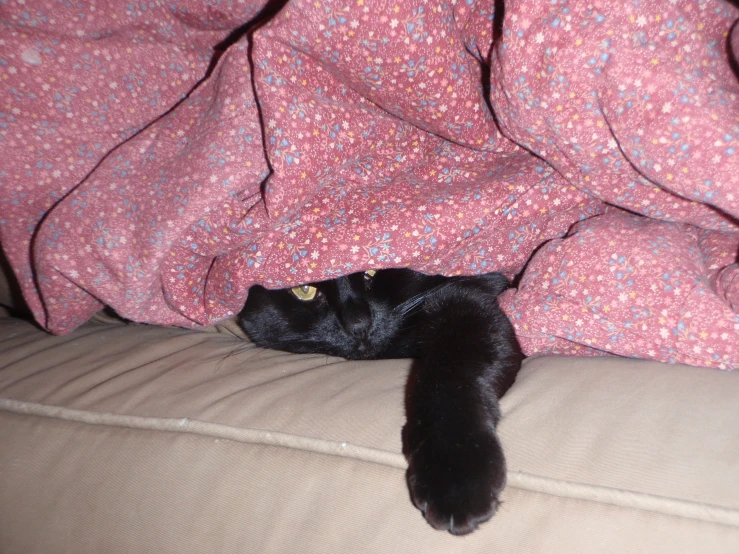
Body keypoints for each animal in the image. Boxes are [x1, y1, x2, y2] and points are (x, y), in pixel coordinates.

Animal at [240, 268, 524, 536]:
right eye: (304, 289)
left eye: (373, 272)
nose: (358, 326)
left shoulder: (467, 299)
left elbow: (454, 372)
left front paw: (456, 479)